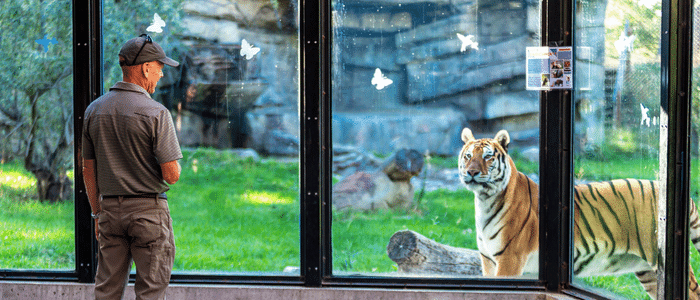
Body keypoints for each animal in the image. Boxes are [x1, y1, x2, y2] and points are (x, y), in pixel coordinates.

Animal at [456, 127, 700, 298]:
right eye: (468, 156)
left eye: (487, 157)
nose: (472, 172)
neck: (485, 200)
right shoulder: (488, 261)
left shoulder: (510, 260)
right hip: (650, 273)